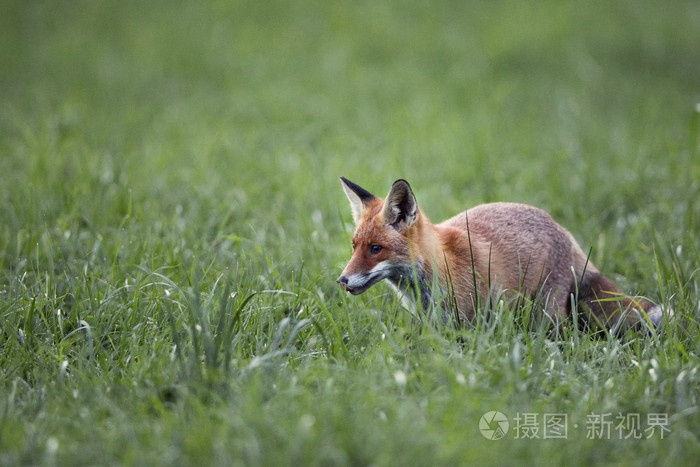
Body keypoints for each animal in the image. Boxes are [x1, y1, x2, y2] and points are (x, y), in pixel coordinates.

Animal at [336, 176, 668, 332]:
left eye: (375, 249)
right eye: (354, 246)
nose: (342, 280)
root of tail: (565, 231)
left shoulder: (468, 321)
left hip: (545, 312)